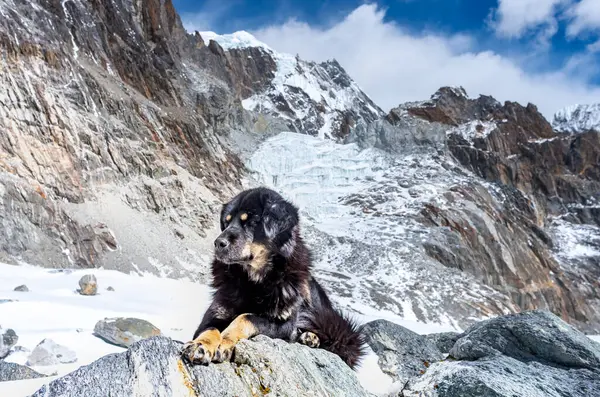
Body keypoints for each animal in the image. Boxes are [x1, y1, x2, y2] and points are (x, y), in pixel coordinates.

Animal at [180, 187, 366, 366]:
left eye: (252, 222)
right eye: (226, 222)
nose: (218, 243)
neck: (254, 282)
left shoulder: (283, 323)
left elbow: (245, 317)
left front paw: (225, 341)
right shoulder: (217, 312)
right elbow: (209, 329)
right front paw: (201, 345)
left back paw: (311, 337)